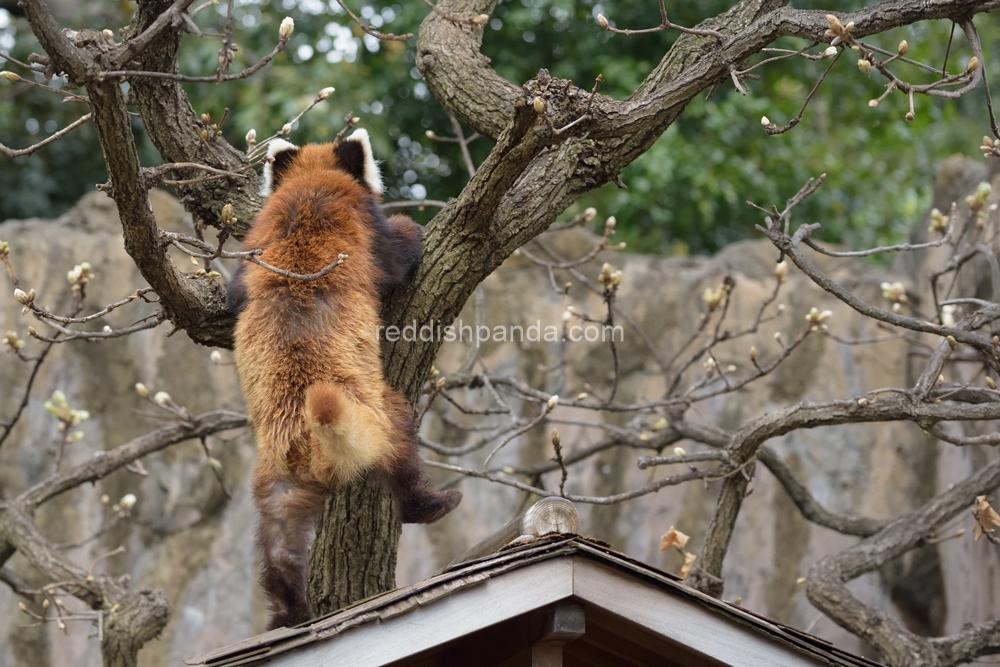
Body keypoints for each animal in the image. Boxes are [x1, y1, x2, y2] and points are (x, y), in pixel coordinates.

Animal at [227, 126, 460, 632]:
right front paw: (414, 230)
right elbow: (397, 255)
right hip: (375, 412)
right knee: (400, 443)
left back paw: (289, 610)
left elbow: (234, 292)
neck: (308, 187)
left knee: (279, 540)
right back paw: (431, 502)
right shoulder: (365, 226)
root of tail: (311, 447)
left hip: (279, 479)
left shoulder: (253, 249)